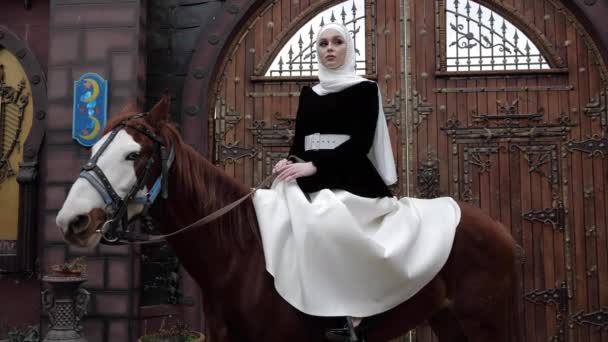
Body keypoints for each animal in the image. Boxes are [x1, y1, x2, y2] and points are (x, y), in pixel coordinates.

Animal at [55, 96, 516, 342]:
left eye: (132, 154)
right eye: (93, 147)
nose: (72, 221)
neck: (241, 254)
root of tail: (500, 230)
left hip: (483, 323)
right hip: (449, 322)